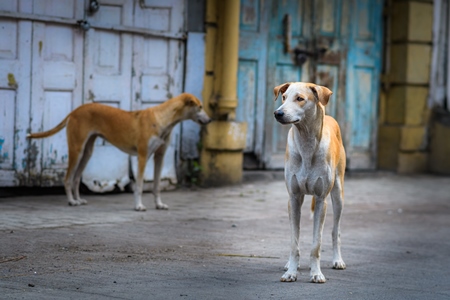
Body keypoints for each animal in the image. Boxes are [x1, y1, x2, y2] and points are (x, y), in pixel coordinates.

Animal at [27, 93, 211, 211]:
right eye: (200, 107)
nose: (210, 120)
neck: (163, 119)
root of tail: (75, 111)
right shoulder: (142, 157)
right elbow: (139, 185)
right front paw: (138, 206)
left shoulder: (159, 157)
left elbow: (157, 185)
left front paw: (159, 205)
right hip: (76, 150)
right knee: (67, 178)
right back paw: (72, 201)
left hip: (87, 152)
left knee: (76, 178)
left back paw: (78, 199)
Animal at [272, 82, 346, 284]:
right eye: (284, 97)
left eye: (300, 98)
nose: (278, 113)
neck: (306, 141)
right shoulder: (294, 198)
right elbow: (294, 241)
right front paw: (291, 271)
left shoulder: (321, 200)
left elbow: (316, 244)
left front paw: (316, 273)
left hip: (338, 194)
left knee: (335, 231)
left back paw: (338, 260)